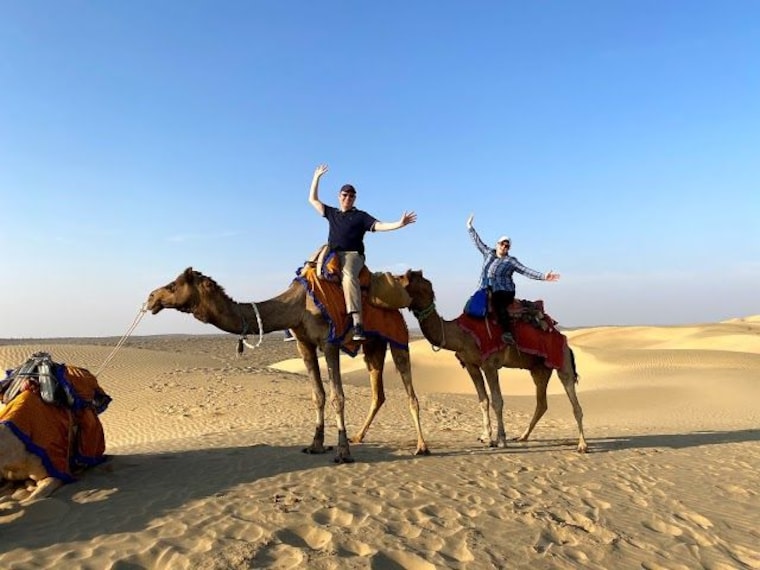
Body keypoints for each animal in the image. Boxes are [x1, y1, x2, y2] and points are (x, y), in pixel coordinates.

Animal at [146, 267, 430, 463]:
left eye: (173, 285)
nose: (151, 297)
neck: (297, 305)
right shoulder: (304, 345)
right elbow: (318, 395)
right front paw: (315, 445)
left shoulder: (329, 342)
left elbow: (337, 396)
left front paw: (342, 452)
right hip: (373, 346)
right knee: (377, 392)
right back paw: (359, 437)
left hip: (398, 337)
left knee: (410, 391)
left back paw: (421, 447)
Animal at [399, 270, 588, 453]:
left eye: (403, 279)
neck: (462, 334)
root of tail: (564, 340)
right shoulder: (471, 365)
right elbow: (483, 400)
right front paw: (485, 437)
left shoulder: (490, 364)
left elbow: (498, 401)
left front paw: (501, 439)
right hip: (539, 369)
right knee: (542, 403)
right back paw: (522, 436)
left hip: (561, 360)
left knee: (575, 402)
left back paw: (582, 445)